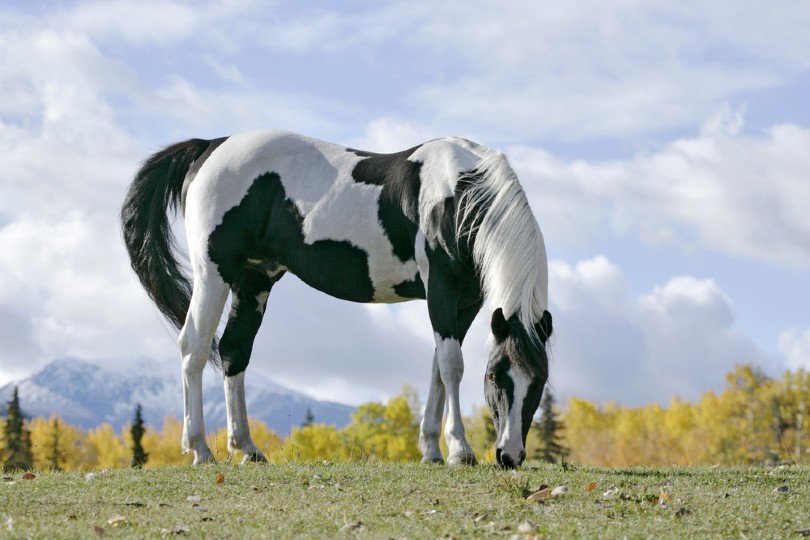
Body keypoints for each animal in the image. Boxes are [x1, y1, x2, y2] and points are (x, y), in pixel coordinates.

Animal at [120, 130, 548, 468]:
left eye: (540, 381)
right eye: (494, 377)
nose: (509, 456)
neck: (457, 192)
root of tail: (210, 146)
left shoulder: (467, 301)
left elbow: (438, 369)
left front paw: (431, 450)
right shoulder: (440, 287)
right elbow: (452, 366)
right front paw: (459, 450)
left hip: (254, 279)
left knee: (233, 351)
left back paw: (247, 448)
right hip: (214, 272)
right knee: (193, 347)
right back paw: (200, 450)